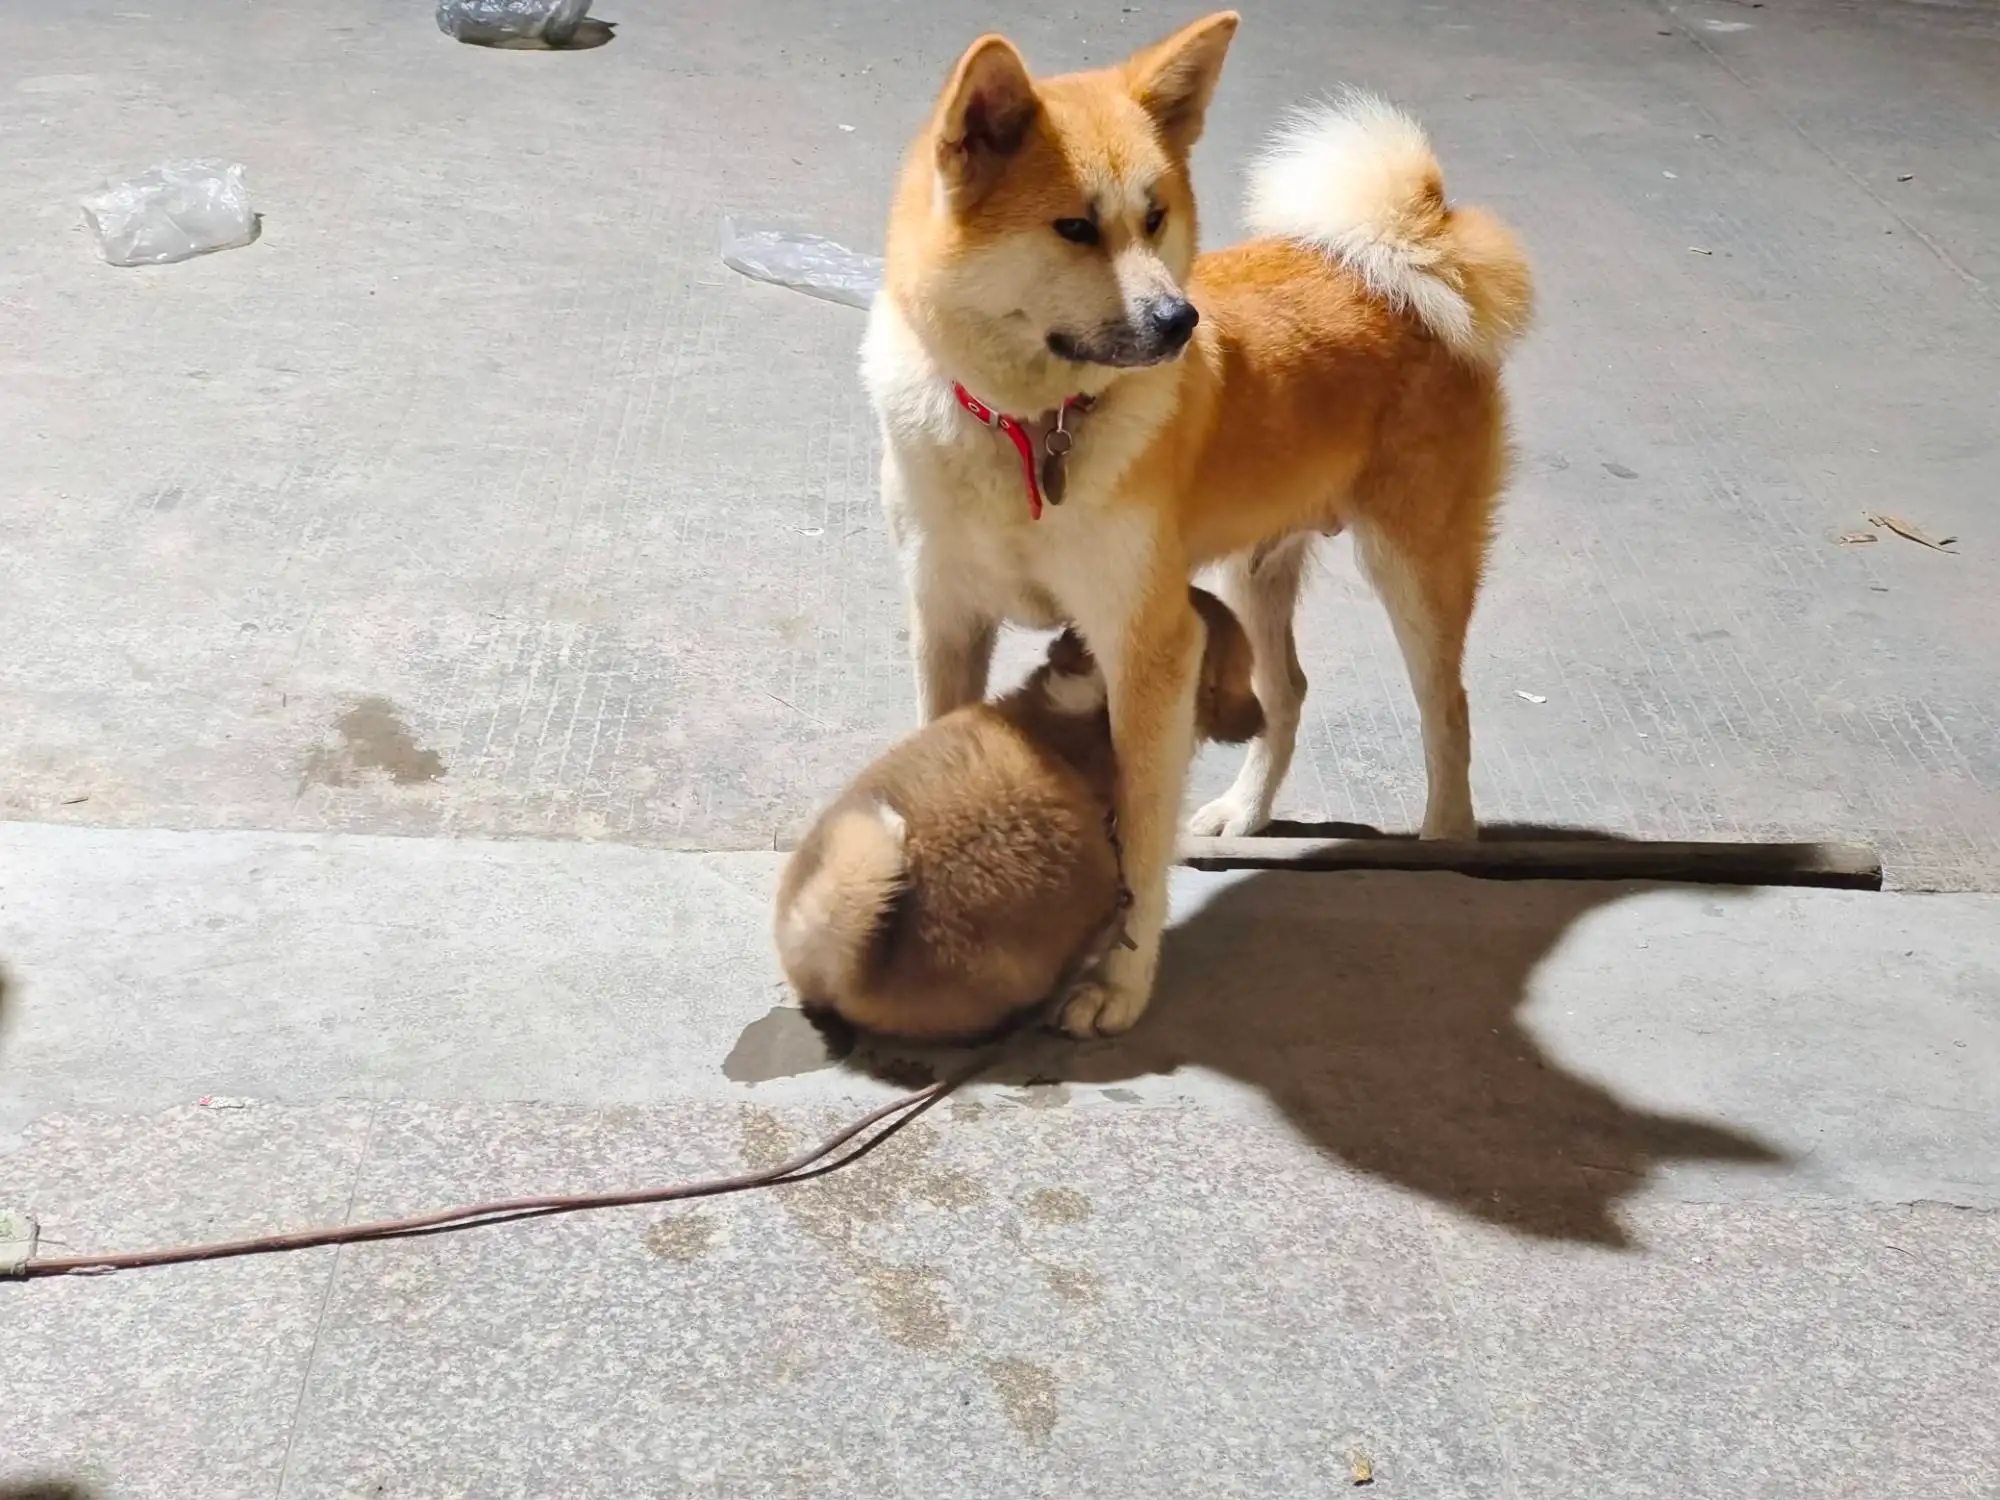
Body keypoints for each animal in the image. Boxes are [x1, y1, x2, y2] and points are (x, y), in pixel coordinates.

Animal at [860, 11, 1528, 1040]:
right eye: (1074, 227)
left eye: (1155, 217)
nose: (1181, 322)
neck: (1031, 428)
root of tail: (1410, 255)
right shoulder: (947, 623)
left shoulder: (1149, 649)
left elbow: (1139, 836)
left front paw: (1122, 982)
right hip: (1252, 577)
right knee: (1289, 692)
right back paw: (1243, 816)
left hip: (1413, 570)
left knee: (1445, 710)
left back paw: (1443, 844)